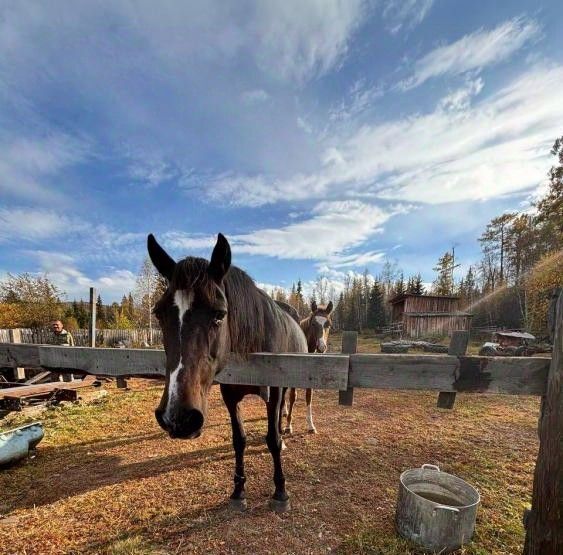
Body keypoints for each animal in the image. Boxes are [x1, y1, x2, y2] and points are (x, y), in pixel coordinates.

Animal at [147, 231, 304, 512]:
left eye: (220, 314)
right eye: (158, 313)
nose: (178, 417)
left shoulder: (274, 392)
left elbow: (272, 439)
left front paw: (280, 491)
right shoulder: (230, 396)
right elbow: (238, 439)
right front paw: (238, 490)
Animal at [284, 302, 332, 436]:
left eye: (328, 324)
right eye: (313, 324)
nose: (321, 347)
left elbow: (309, 396)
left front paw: (311, 426)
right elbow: (292, 397)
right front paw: (288, 426)